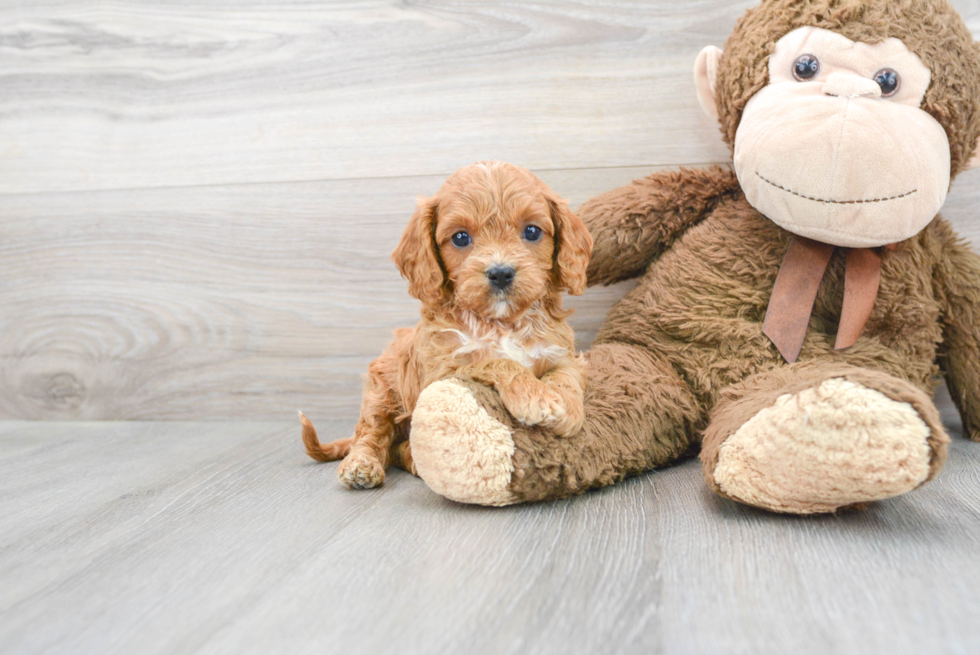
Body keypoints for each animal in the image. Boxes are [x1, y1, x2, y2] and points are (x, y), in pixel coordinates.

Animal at [300, 161, 588, 490]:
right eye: (460, 238)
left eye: (531, 231)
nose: (501, 273)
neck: (502, 324)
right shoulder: (443, 372)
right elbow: (495, 362)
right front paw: (536, 398)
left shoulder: (560, 353)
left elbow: (565, 376)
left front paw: (566, 407)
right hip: (381, 390)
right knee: (372, 434)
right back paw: (361, 463)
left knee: (399, 448)